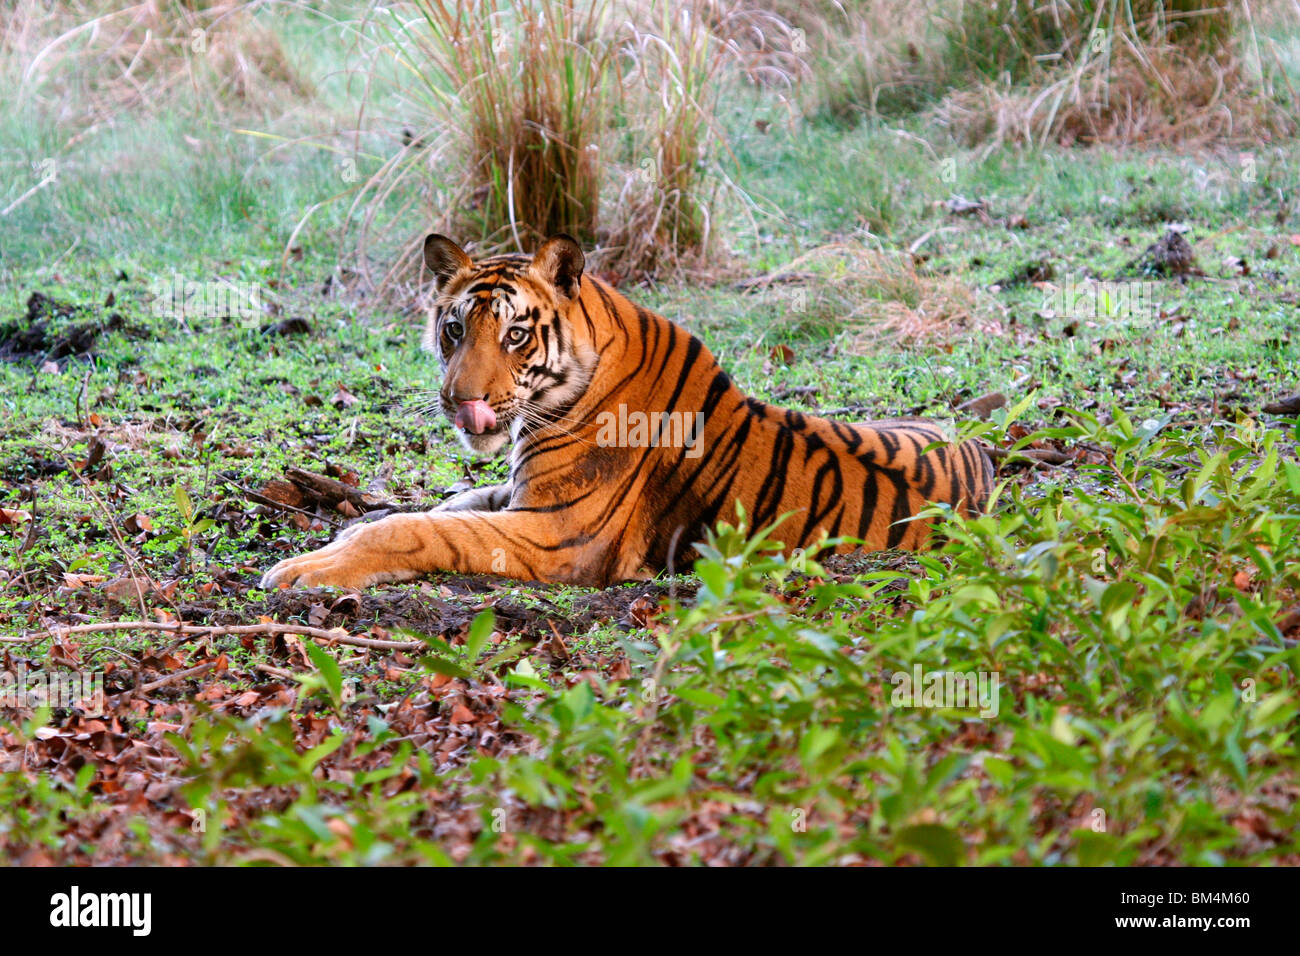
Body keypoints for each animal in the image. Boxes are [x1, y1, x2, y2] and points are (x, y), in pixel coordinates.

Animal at [261, 232, 993, 590]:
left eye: (515, 335)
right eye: (454, 328)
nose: (460, 400)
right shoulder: (521, 494)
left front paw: (306, 568)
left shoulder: (558, 532)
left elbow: (420, 530)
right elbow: (445, 506)